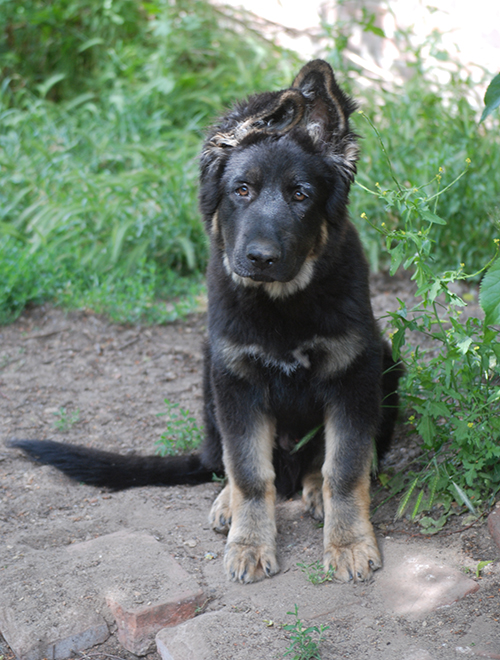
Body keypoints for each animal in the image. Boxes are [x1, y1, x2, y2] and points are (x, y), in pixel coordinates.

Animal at [10, 60, 401, 584]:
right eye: (242, 190)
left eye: (301, 196)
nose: (260, 258)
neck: (281, 307)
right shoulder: (236, 383)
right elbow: (250, 474)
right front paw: (250, 543)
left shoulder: (352, 376)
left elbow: (343, 470)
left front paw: (348, 543)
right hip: (210, 373)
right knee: (232, 463)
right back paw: (227, 503)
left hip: (387, 360)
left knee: (315, 464)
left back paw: (311, 488)